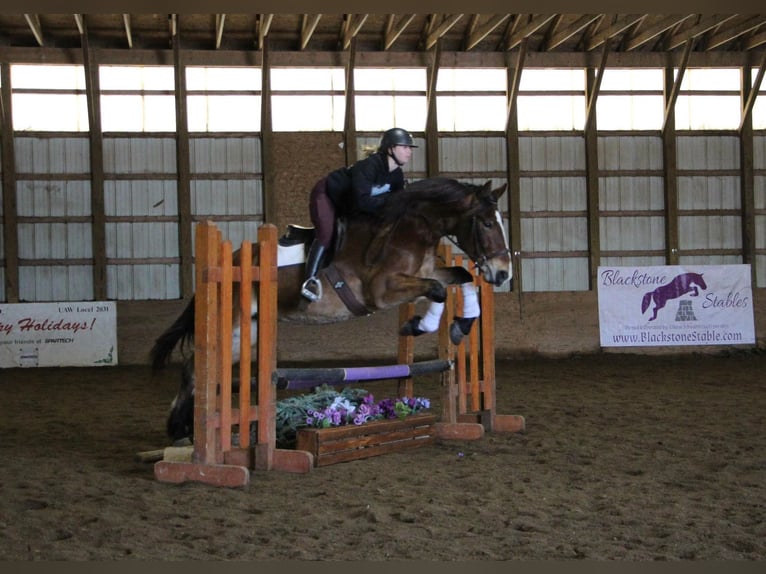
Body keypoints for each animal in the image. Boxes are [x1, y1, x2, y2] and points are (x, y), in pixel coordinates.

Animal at [150, 178, 512, 444]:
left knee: (199, 368)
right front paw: (420, 325)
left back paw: (184, 430)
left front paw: (460, 326)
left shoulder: (428, 272)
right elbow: (437, 289)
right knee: (196, 366)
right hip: (234, 324)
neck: (411, 229)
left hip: (247, 333)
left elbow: (460, 276)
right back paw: (182, 431)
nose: (503, 274)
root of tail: (232, 261)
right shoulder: (382, 291)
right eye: (485, 223)